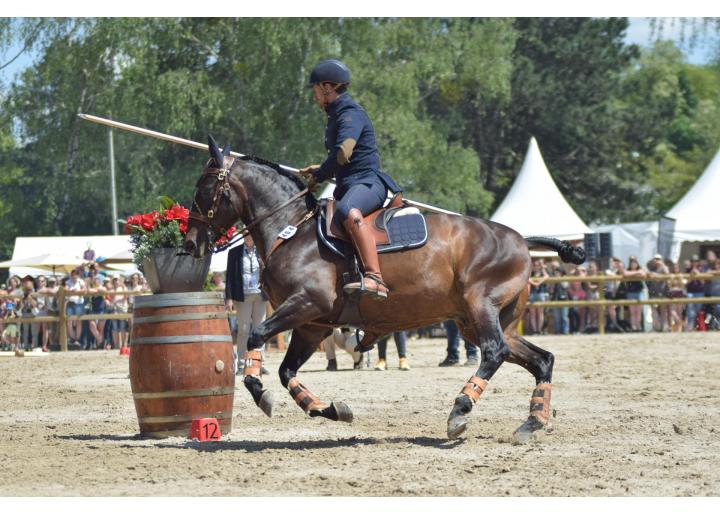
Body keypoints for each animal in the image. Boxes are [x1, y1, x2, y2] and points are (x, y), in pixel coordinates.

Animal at [186, 137, 584, 440]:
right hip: (477, 320)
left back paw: (460, 409)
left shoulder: (306, 304)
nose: (190, 244)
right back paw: (533, 421)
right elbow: (287, 372)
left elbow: (255, 338)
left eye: (202, 189)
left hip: (480, 305)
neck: (291, 229)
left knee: (494, 351)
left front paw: (260, 392)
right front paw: (329, 408)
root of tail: (521, 239)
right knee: (541, 359)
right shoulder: (313, 325)